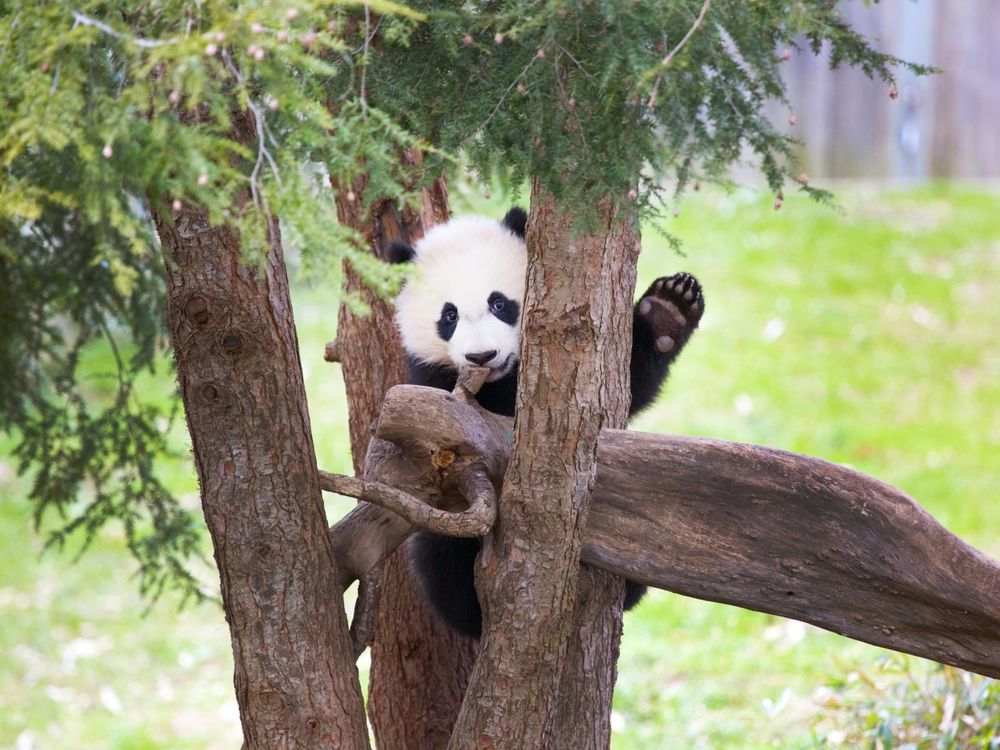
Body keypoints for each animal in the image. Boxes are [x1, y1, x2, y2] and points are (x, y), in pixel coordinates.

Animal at [386, 207, 708, 640]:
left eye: (500, 303)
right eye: (448, 316)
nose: (482, 356)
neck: (500, 378)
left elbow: (627, 388)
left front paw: (668, 309)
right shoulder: (433, 382)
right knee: (441, 556)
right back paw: (472, 609)